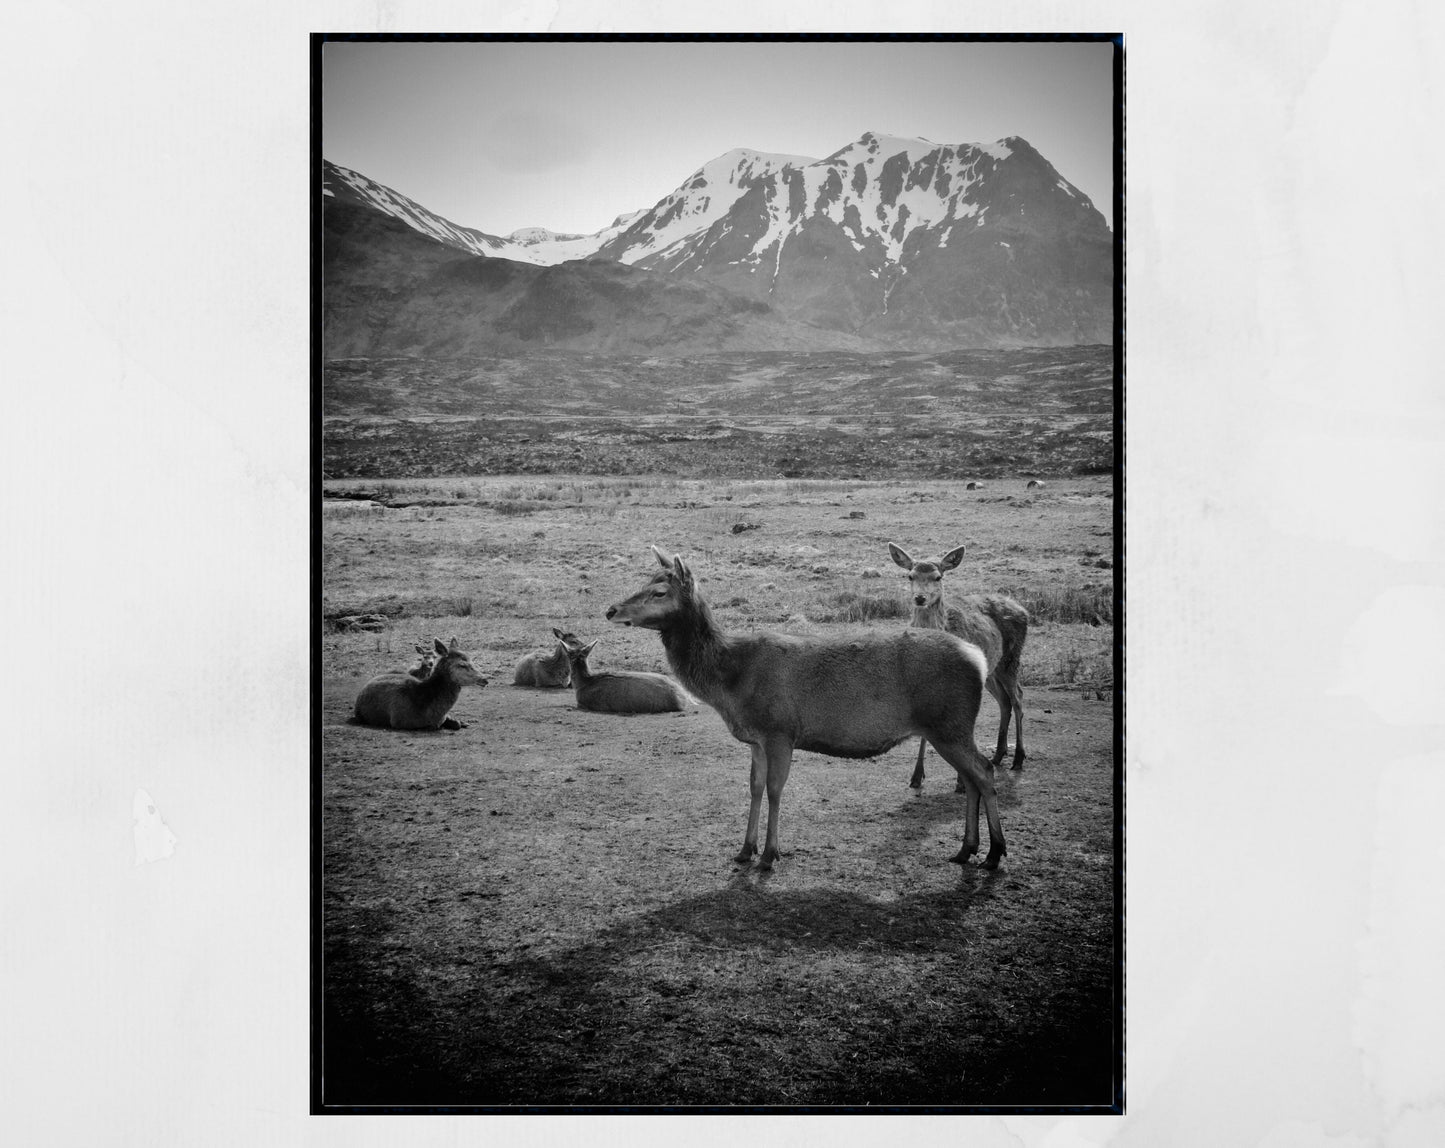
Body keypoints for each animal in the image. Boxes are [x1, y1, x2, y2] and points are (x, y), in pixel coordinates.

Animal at [352, 630, 488, 728]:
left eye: (471, 659)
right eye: (462, 665)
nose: (485, 679)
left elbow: (456, 723)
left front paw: (462, 721)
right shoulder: (399, 720)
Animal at [606, 546, 1005, 867]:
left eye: (660, 590)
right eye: (644, 580)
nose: (610, 609)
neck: (730, 684)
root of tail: (978, 658)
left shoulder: (780, 730)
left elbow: (775, 789)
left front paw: (769, 855)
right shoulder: (756, 739)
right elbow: (754, 787)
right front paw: (744, 850)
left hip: (950, 723)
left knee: (984, 771)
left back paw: (995, 853)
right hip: (948, 728)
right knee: (971, 777)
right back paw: (966, 850)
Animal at [884, 537, 1034, 786]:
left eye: (938, 577)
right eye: (910, 576)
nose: (920, 598)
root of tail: (1023, 609)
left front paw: (961, 783)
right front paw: (916, 776)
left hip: (1012, 658)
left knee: (1018, 698)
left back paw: (1018, 758)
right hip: (991, 669)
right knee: (1004, 700)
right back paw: (998, 755)